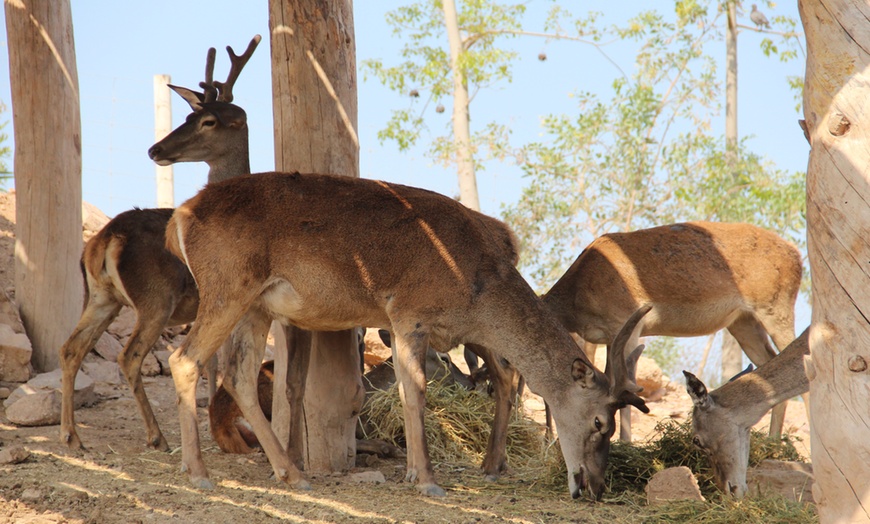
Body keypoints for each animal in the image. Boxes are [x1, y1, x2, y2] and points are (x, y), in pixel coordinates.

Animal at [60, 34, 260, 450]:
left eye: (207, 120)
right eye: (186, 117)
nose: (155, 149)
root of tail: (105, 240)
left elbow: (209, 360)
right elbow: (218, 358)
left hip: (102, 297)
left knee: (71, 348)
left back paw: (71, 435)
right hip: (155, 298)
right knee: (128, 356)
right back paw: (157, 437)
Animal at [164, 172, 656, 500]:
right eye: (600, 422)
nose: (595, 486)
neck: (477, 287)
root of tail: (179, 219)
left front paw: (426, 472)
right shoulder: (408, 315)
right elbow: (415, 392)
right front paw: (428, 479)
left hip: (257, 305)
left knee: (239, 373)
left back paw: (293, 473)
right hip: (228, 287)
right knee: (184, 359)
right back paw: (198, 471)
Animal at [540, 221, 808, 442]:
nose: (549, 438)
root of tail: (797, 255)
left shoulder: (627, 325)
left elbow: (625, 382)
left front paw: (625, 443)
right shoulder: (603, 337)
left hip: (776, 308)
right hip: (742, 322)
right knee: (770, 364)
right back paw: (772, 441)